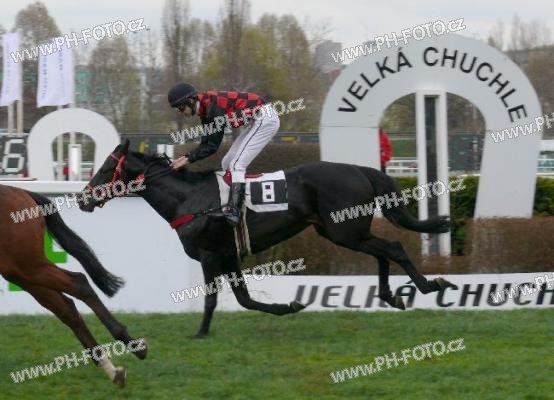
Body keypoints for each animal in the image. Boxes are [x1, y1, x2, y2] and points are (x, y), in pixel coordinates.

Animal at [0, 184, 147, 387]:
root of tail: (20, 191)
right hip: (20, 272)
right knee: (66, 308)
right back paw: (112, 369)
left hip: (27, 265)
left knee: (79, 283)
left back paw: (131, 345)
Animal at [79, 139, 457, 338]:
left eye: (104, 169)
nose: (82, 199)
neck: (189, 199)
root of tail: (360, 170)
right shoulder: (228, 255)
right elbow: (245, 299)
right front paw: (289, 305)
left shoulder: (210, 255)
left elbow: (213, 298)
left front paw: (200, 333)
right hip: (342, 231)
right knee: (382, 252)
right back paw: (392, 296)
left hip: (344, 230)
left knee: (393, 247)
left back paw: (430, 286)